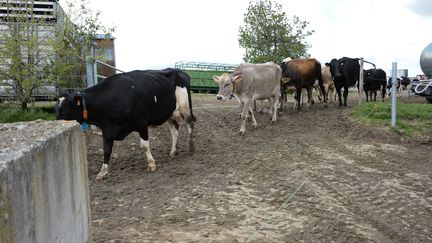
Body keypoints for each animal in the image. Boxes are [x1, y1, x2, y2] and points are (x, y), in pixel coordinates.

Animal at [55, 68, 196, 180]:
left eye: (65, 110)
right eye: (55, 109)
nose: (56, 122)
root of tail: (179, 71)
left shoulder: (141, 122)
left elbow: (144, 145)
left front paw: (151, 164)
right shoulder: (107, 129)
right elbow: (106, 150)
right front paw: (103, 171)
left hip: (185, 107)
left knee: (190, 123)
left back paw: (190, 147)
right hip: (168, 113)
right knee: (175, 129)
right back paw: (173, 151)